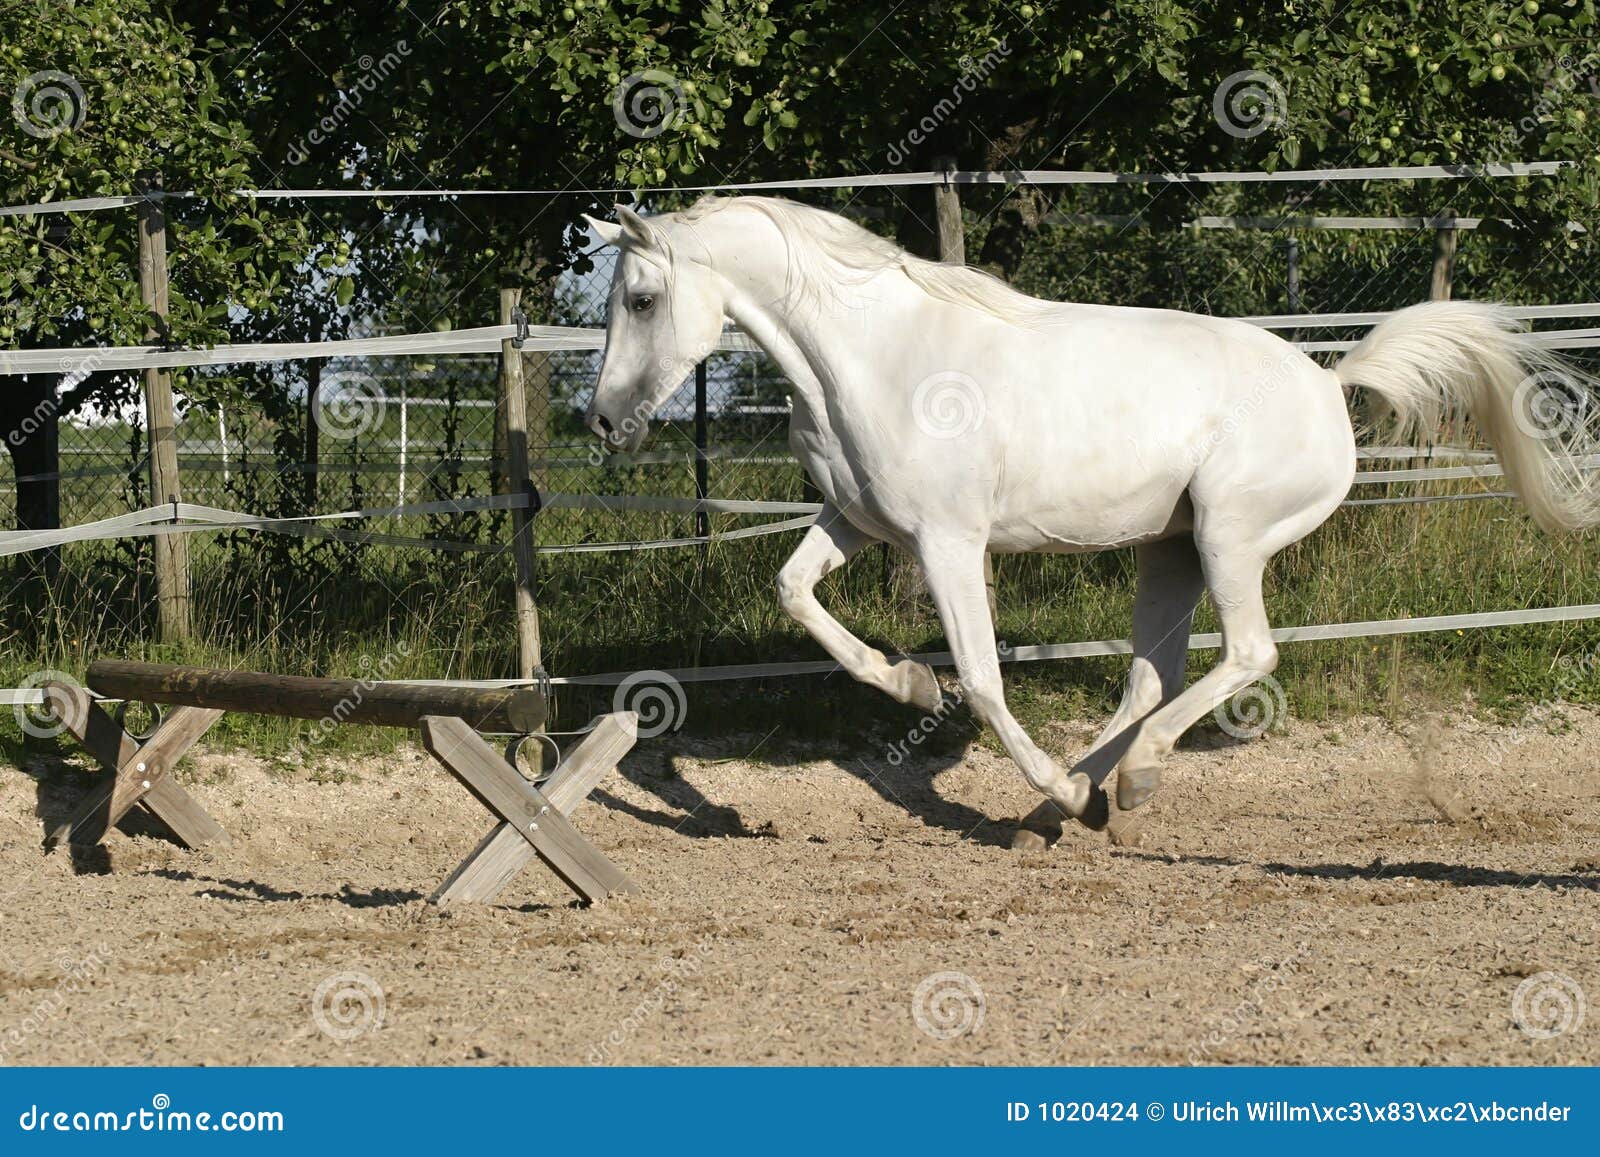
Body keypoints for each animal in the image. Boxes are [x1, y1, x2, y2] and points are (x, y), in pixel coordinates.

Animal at [581, 195, 1600, 847]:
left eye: (640, 299)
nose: (604, 421)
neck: (874, 357)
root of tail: (1328, 382)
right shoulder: (857, 520)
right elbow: (793, 592)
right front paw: (909, 681)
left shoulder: (950, 543)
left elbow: (984, 679)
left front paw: (995, 736)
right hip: (1171, 550)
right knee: (1153, 678)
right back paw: (1070, 807)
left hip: (1229, 539)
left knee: (1247, 654)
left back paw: (1119, 783)